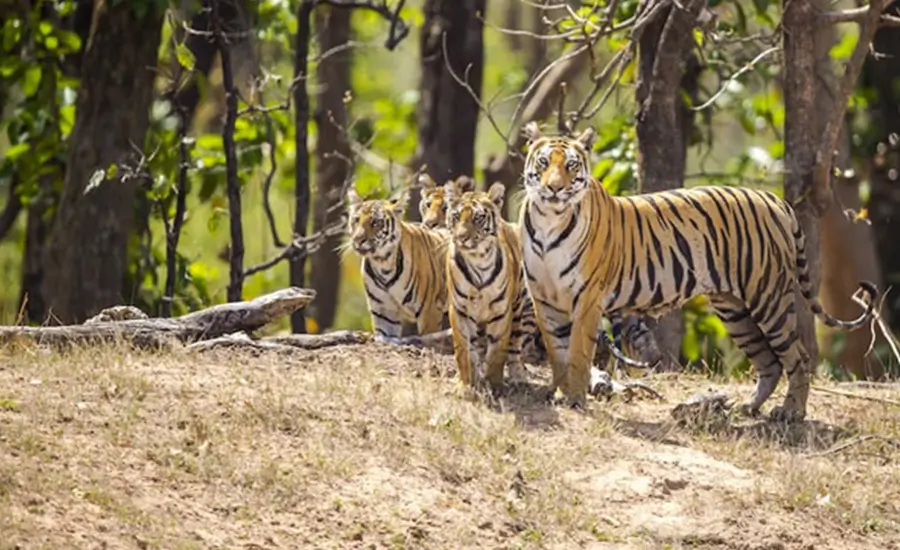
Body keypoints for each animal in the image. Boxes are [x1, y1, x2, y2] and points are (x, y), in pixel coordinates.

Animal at [346, 187, 449, 341]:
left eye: (375, 222)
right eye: (356, 220)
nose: (358, 239)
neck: (383, 263)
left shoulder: (429, 311)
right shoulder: (384, 313)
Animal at [518, 121, 878, 421]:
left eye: (571, 165)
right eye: (543, 163)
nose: (554, 188)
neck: (549, 221)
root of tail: (775, 200)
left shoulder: (588, 299)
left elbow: (578, 353)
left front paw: (576, 400)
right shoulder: (544, 298)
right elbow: (558, 353)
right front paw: (560, 394)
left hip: (768, 299)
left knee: (797, 358)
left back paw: (791, 412)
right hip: (735, 311)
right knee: (769, 363)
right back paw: (748, 407)